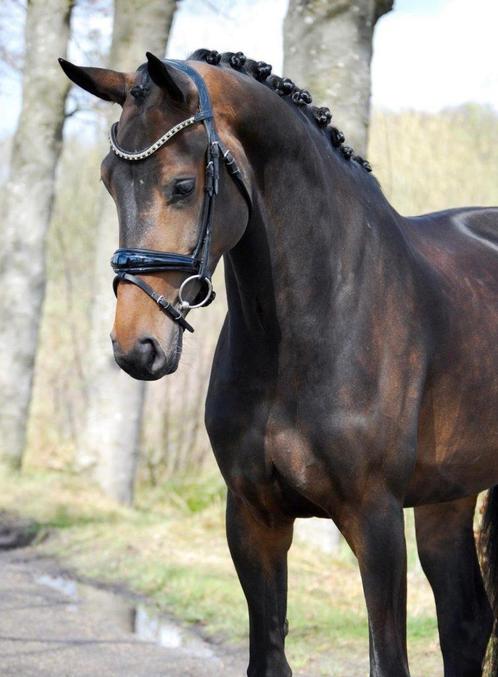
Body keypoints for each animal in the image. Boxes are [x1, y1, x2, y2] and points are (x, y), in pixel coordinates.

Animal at [60, 48, 498, 676]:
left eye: (182, 184)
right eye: (107, 179)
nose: (135, 345)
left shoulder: (376, 519)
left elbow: (386, 659)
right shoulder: (253, 516)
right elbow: (267, 654)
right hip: (447, 497)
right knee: (465, 620)